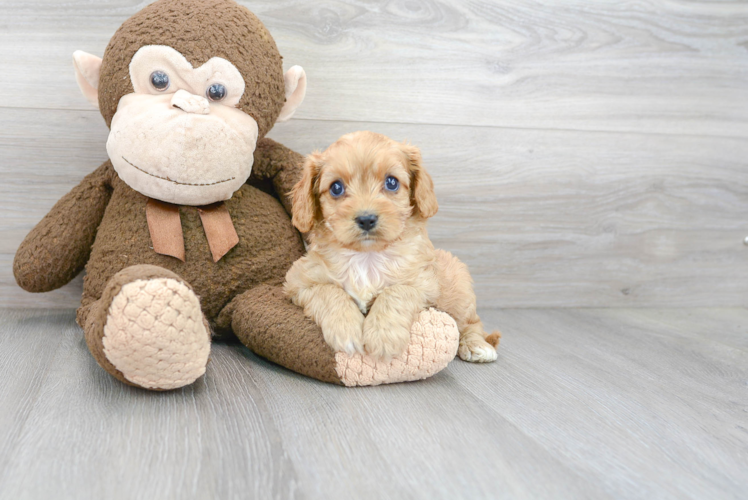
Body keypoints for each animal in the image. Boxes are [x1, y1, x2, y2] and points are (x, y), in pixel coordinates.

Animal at [284, 131, 500, 362]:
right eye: (336, 187)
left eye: (391, 182)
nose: (366, 219)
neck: (367, 257)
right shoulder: (298, 281)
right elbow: (328, 291)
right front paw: (346, 328)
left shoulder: (424, 283)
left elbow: (397, 292)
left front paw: (384, 335)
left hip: (459, 290)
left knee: (472, 323)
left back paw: (478, 345)